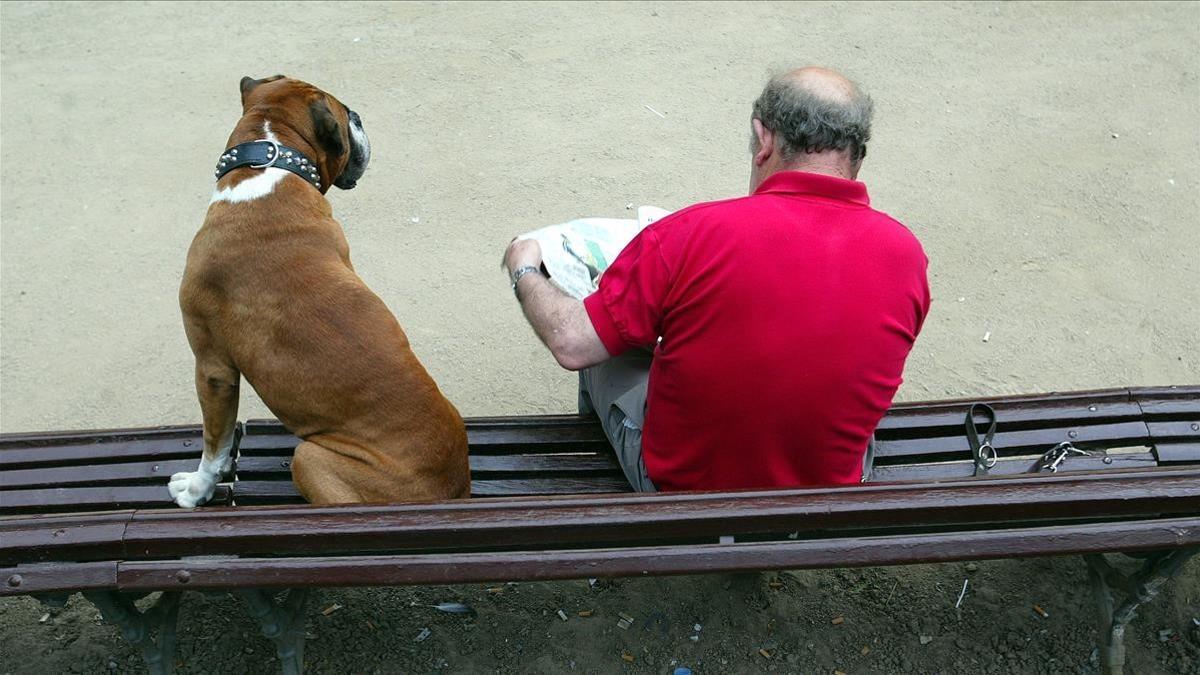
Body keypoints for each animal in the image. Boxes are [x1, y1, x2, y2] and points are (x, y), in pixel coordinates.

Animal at [169, 74, 468, 504]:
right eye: (347, 116)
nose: (358, 116)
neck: (268, 166)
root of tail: (454, 489)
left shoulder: (213, 369)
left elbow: (214, 445)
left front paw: (197, 490)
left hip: (309, 457)